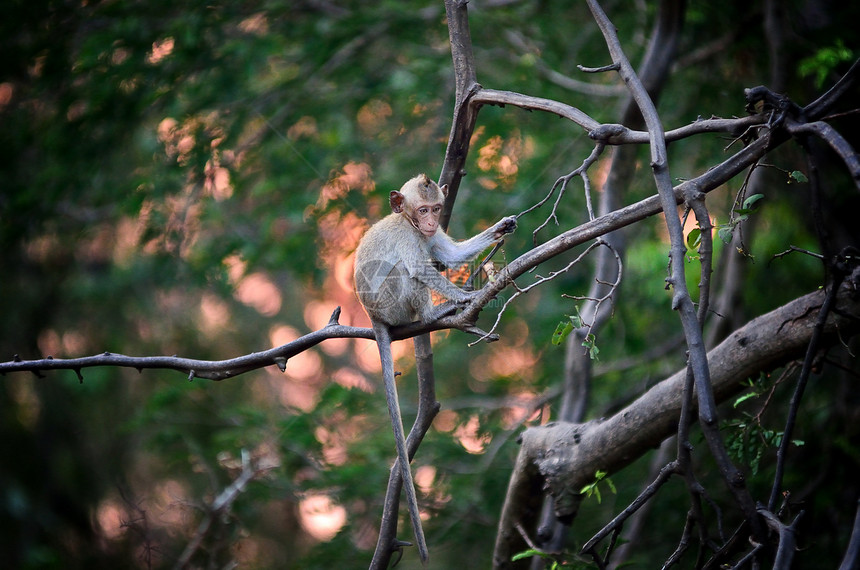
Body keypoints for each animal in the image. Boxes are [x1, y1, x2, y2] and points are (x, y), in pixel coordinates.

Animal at [352, 172, 512, 560]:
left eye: (436, 209)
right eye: (422, 210)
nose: (429, 223)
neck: (408, 223)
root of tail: (372, 315)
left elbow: (451, 255)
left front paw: (501, 228)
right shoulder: (409, 239)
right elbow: (421, 270)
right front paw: (467, 295)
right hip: (393, 304)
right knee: (408, 273)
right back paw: (433, 313)